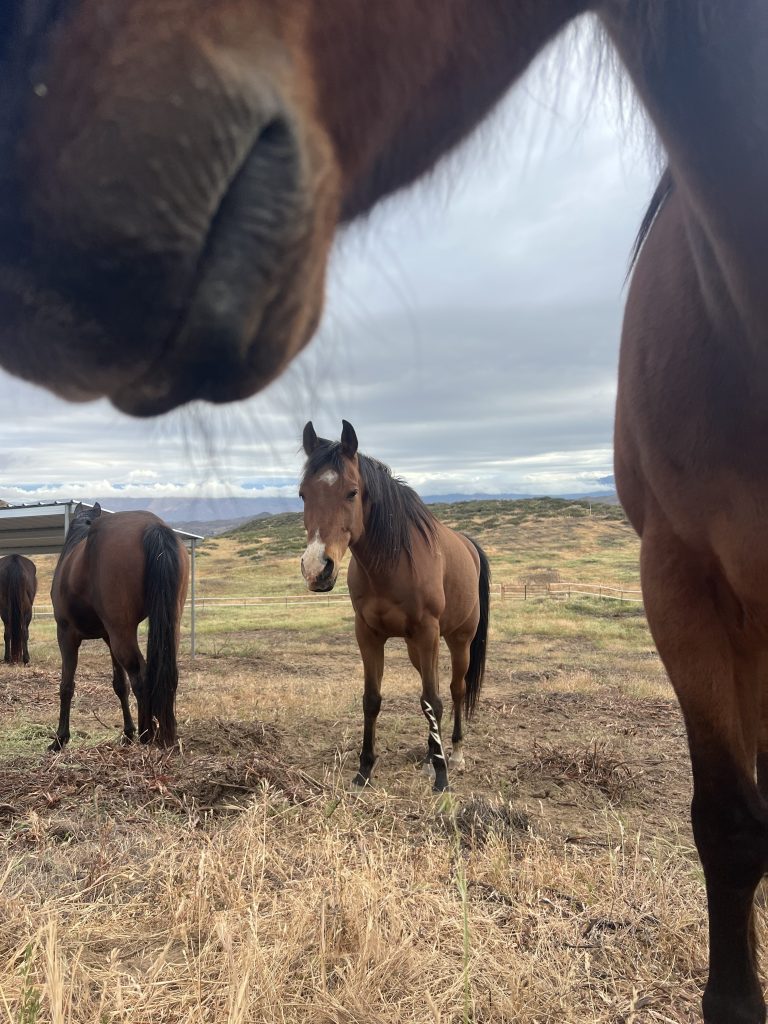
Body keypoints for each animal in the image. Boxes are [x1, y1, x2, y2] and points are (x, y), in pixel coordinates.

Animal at [49, 503, 189, 750]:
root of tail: (153, 525)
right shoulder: (107, 637)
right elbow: (120, 685)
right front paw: (127, 732)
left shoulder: (66, 634)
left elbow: (66, 686)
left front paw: (60, 738)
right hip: (166, 625)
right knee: (166, 674)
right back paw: (163, 734)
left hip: (121, 632)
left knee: (140, 676)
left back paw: (146, 736)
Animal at [300, 421, 491, 794]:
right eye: (302, 494)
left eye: (352, 492)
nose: (317, 569)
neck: (391, 564)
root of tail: (469, 545)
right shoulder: (368, 634)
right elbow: (373, 700)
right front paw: (364, 771)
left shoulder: (428, 632)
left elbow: (434, 700)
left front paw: (442, 780)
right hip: (418, 648)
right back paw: (431, 755)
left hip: (458, 640)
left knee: (455, 690)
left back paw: (454, 755)